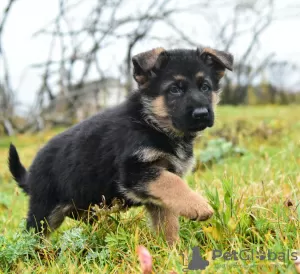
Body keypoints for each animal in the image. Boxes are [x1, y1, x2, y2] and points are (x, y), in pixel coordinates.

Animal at [8, 46, 233, 244]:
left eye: (205, 87)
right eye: (175, 89)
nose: (201, 114)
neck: (152, 123)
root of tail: (31, 174)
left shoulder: (155, 192)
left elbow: (167, 222)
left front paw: (173, 251)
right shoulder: (134, 172)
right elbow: (172, 183)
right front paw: (198, 205)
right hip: (44, 212)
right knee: (34, 235)